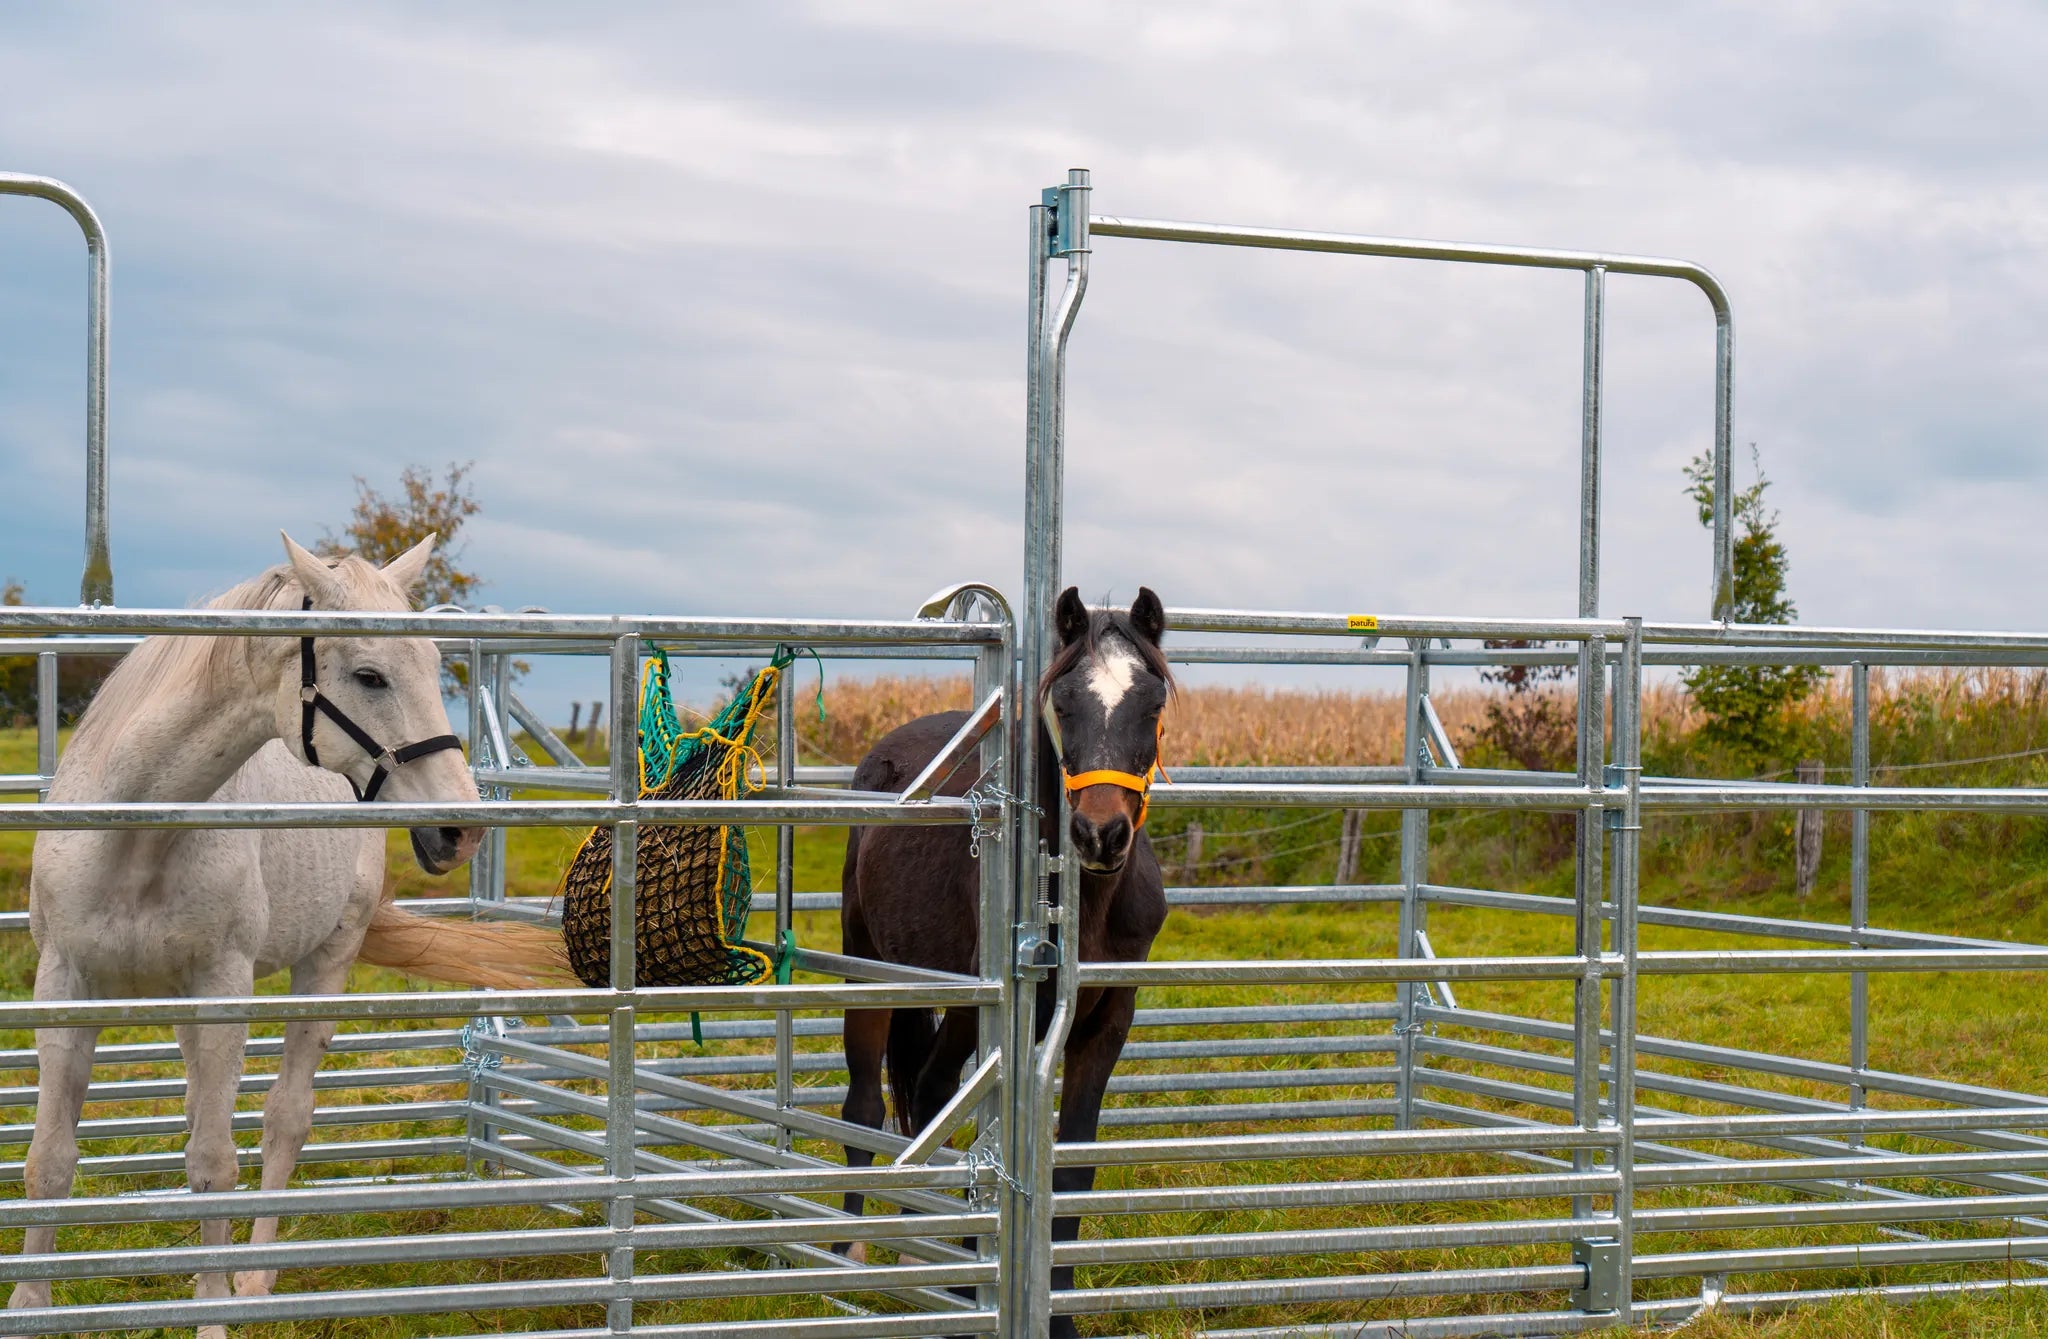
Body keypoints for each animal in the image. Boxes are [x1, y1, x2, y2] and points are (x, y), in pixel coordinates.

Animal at [7, 534, 569, 1338]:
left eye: (433, 661)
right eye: (369, 674)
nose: (460, 832)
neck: (135, 832)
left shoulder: (225, 988)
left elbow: (214, 1163)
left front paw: (213, 1313)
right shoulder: (66, 985)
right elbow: (50, 1158)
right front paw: (31, 1305)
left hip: (324, 962)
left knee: (284, 1119)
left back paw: (256, 1276)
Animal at [837, 586, 1171, 1338]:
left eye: (1152, 702)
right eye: (1064, 703)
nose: (1100, 833)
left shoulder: (1109, 1022)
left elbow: (1070, 1169)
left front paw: (1061, 1313)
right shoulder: (996, 1011)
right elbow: (981, 1134)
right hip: (874, 968)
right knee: (874, 1102)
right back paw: (845, 1256)